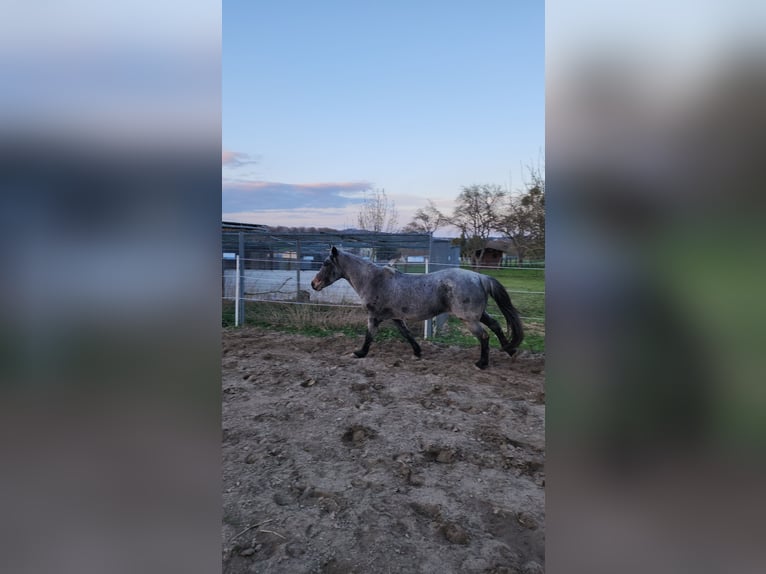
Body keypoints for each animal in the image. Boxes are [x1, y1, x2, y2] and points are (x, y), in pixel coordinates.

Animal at [310, 246, 520, 372]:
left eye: (326, 263)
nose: (314, 284)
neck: (373, 280)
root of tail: (479, 277)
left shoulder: (374, 316)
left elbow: (369, 336)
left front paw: (359, 353)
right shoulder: (395, 317)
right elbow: (407, 334)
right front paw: (418, 352)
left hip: (469, 319)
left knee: (484, 336)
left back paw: (482, 363)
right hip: (478, 315)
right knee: (496, 325)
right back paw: (510, 350)